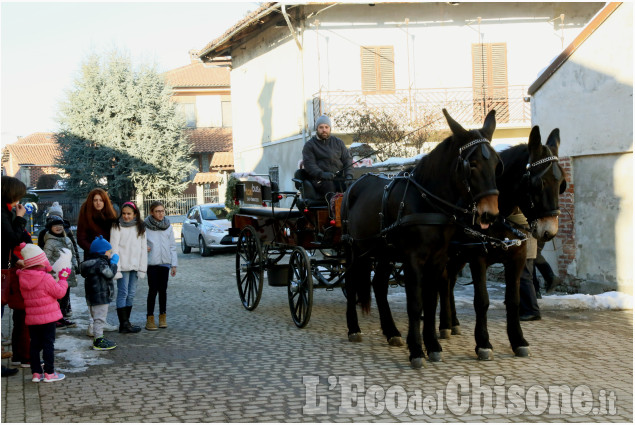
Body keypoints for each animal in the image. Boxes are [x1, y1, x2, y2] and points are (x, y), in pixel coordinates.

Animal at [340, 109, 504, 368]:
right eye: (472, 164)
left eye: (497, 164)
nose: (490, 214)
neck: (428, 201)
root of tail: (354, 184)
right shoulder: (413, 259)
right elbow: (415, 304)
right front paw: (417, 350)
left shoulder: (437, 259)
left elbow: (431, 300)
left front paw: (433, 345)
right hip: (354, 249)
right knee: (351, 282)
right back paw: (353, 328)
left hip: (384, 251)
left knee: (379, 285)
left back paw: (392, 332)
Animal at [440, 125, 568, 358]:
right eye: (538, 183)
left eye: (561, 183)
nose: (549, 231)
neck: (499, 217)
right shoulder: (478, 259)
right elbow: (482, 301)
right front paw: (483, 343)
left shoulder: (516, 259)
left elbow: (513, 300)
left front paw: (518, 340)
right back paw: (443, 324)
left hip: (458, 257)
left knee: (449, 282)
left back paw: (451, 322)